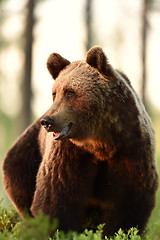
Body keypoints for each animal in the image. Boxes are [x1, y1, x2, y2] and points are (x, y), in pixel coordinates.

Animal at [2, 46, 159, 236]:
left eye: (70, 92)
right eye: (55, 93)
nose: (47, 121)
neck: (101, 142)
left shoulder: (131, 149)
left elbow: (129, 200)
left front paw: (120, 230)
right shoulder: (70, 153)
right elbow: (57, 195)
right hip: (26, 154)